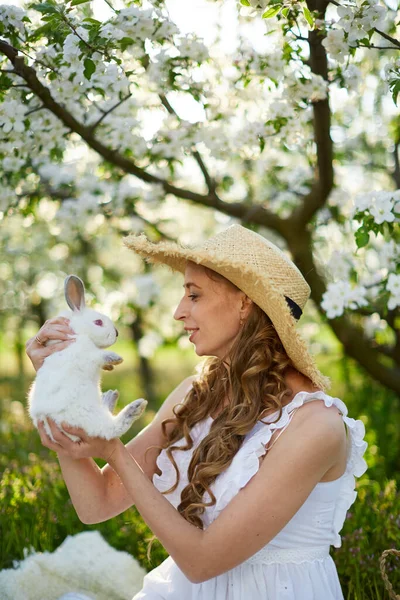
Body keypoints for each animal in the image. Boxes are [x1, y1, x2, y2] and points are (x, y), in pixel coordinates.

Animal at [28, 276, 148, 440]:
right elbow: (98, 355)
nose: (117, 333)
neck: (79, 334)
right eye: (98, 322)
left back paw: (110, 397)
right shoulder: (84, 355)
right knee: (111, 429)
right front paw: (116, 358)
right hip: (90, 416)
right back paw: (134, 407)